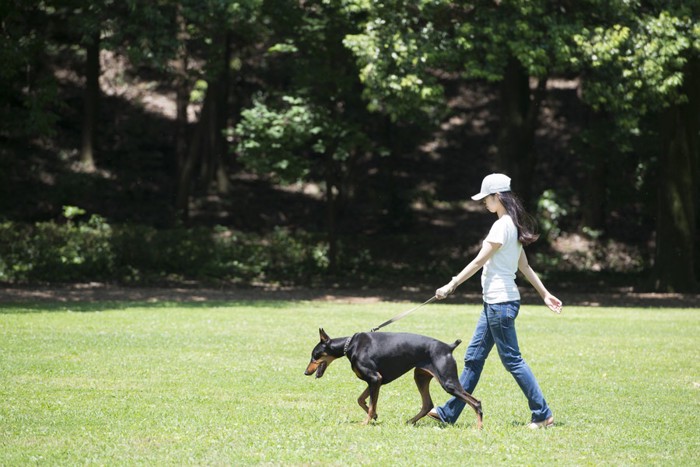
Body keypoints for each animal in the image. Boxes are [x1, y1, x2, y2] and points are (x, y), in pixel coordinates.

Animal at [304, 330, 484, 428]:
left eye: (314, 356)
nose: (306, 372)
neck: (350, 345)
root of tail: (448, 347)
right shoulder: (375, 381)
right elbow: (361, 400)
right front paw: (375, 416)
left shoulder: (375, 378)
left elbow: (370, 405)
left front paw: (365, 422)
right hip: (420, 376)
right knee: (427, 404)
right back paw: (410, 421)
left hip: (448, 382)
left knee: (476, 402)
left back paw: (479, 428)